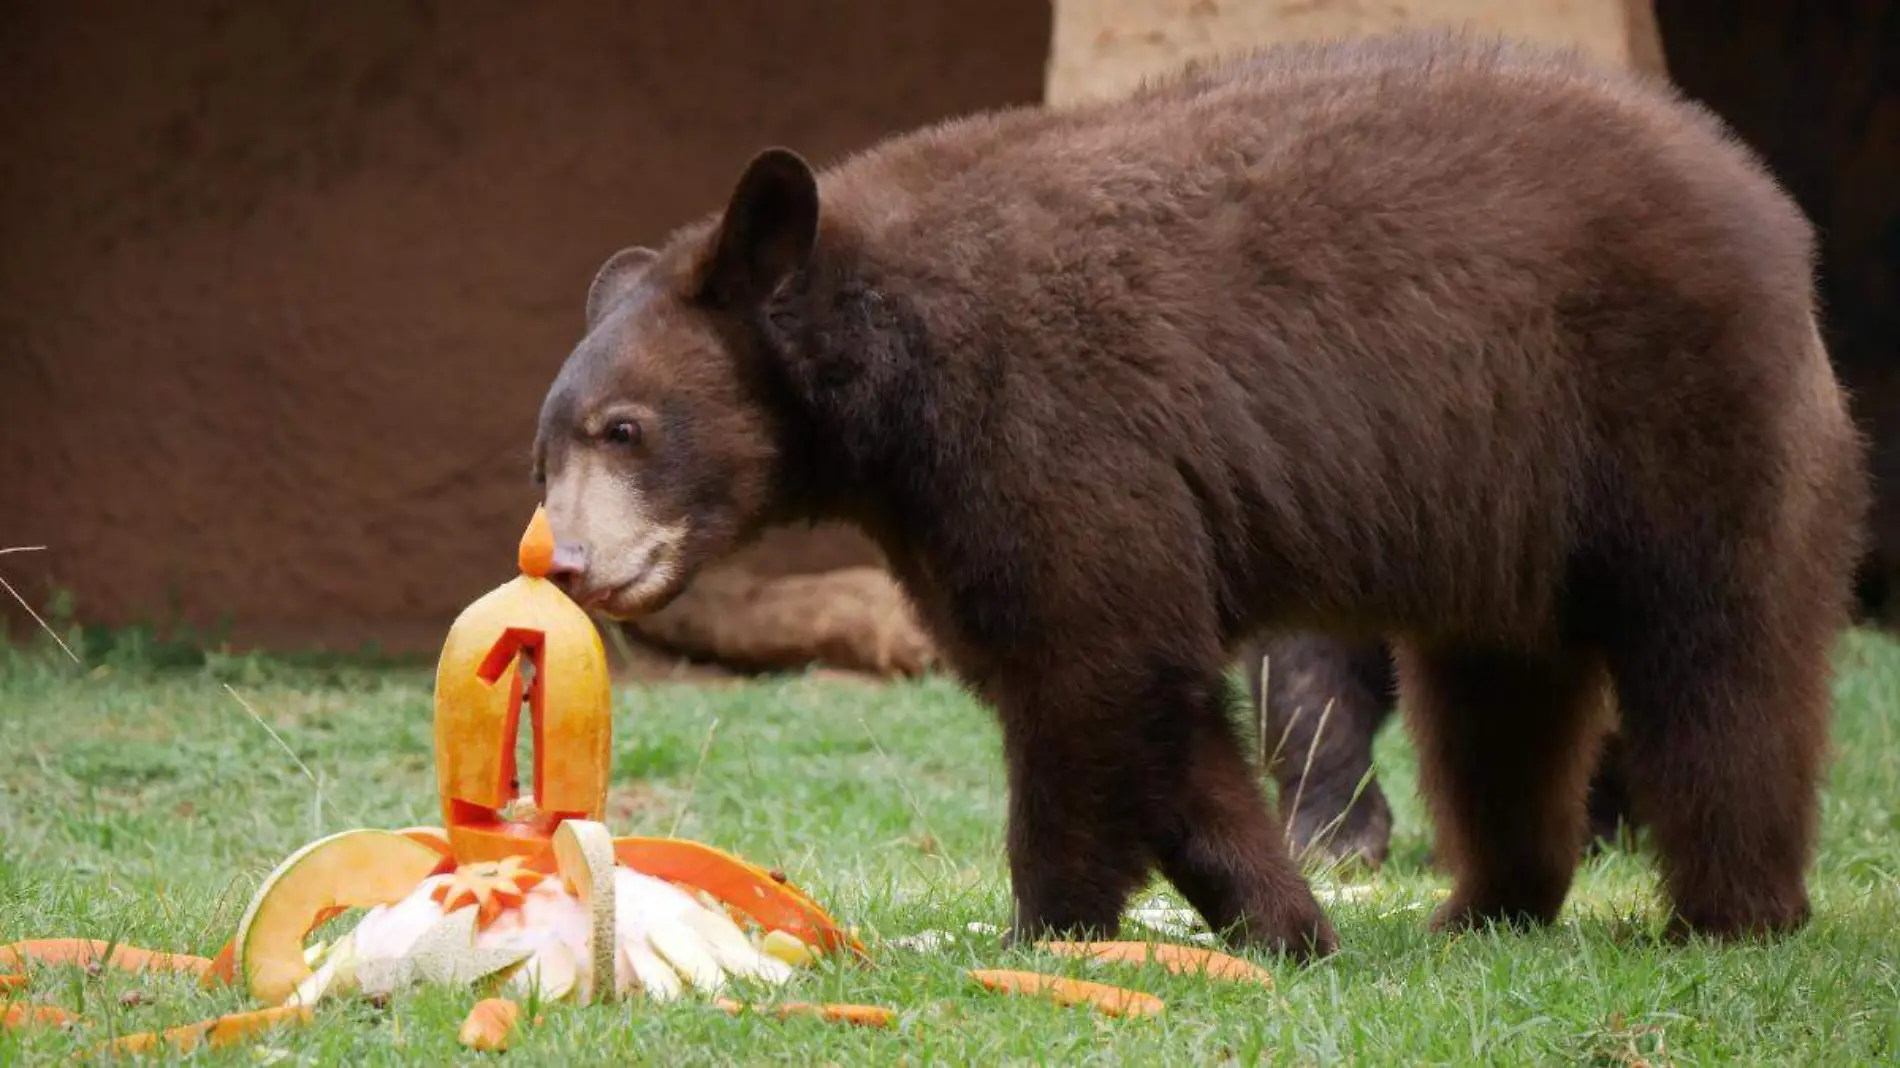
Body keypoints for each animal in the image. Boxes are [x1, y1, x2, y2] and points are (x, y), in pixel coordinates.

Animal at [532, 29, 1869, 957]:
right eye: (544, 454)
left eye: (624, 429)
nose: (571, 569)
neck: (883, 363)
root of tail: (1771, 213)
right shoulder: (961, 505)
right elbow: (1145, 696)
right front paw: (1287, 923)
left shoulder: (1047, 422)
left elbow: (1089, 665)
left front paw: (1045, 924)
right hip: (1507, 501)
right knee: (1500, 698)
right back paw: (1487, 903)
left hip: (1671, 411)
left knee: (1720, 662)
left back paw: (1729, 912)